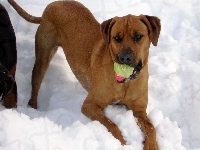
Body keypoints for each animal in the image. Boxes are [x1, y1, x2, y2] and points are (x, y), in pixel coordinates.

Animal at [8, 0, 161, 149]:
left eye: (138, 36)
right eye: (116, 38)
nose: (124, 58)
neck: (126, 82)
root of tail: (52, 4)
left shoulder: (139, 110)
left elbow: (151, 128)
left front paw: (152, 146)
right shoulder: (90, 105)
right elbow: (111, 124)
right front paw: (123, 142)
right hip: (44, 55)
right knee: (36, 82)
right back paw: (33, 106)